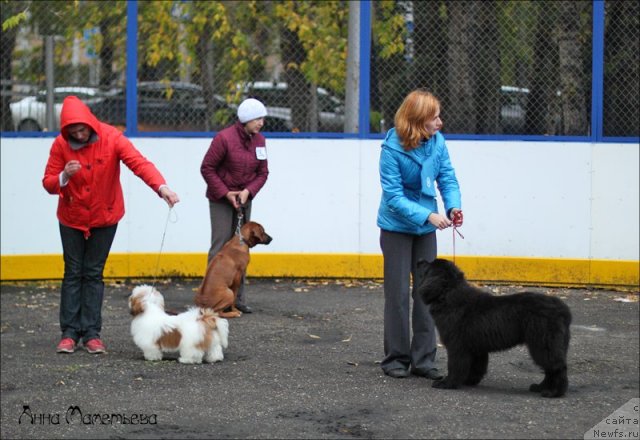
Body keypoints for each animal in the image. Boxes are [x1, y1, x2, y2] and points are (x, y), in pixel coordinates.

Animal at [418, 258, 572, 398]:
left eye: (428, 266)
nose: (419, 260)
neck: (448, 294)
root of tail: (563, 310)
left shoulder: (456, 346)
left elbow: (455, 366)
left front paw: (447, 383)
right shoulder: (476, 347)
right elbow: (476, 367)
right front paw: (469, 381)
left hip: (543, 344)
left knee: (557, 368)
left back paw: (553, 392)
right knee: (550, 369)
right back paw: (540, 387)